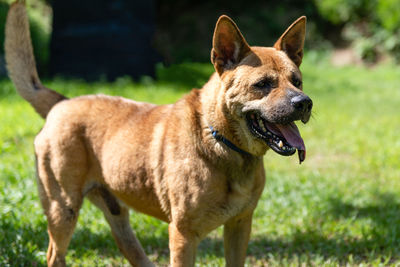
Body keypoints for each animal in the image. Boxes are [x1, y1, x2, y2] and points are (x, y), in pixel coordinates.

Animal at [5, 2, 312, 267]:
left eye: (297, 81)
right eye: (263, 84)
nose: (304, 103)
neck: (220, 141)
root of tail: (61, 103)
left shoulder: (239, 226)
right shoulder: (183, 234)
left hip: (115, 211)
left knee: (129, 249)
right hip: (63, 209)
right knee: (55, 255)